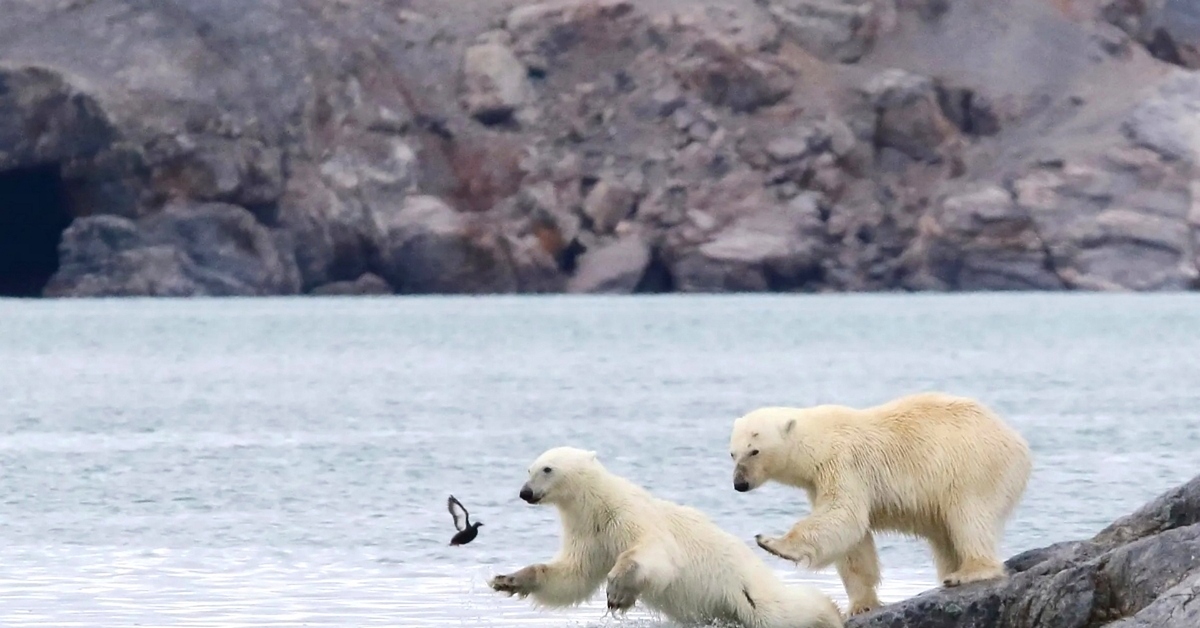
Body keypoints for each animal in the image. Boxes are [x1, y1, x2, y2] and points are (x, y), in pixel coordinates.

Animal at [487, 446, 844, 628]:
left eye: (546, 469)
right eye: (528, 469)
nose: (525, 493)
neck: (597, 505)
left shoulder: (628, 516)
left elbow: (654, 555)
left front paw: (617, 592)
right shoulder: (590, 535)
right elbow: (572, 576)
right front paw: (507, 579)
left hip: (746, 590)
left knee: (784, 611)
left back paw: (829, 612)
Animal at [729, 393, 1032, 614]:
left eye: (754, 451)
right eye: (732, 453)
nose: (739, 484)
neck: (820, 439)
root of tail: (1018, 441)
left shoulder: (843, 464)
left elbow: (844, 515)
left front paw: (772, 542)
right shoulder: (818, 482)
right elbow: (855, 544)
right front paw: (860, 605)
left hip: (974, 466)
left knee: (969, 516)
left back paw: (968, 572)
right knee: (945, 536)